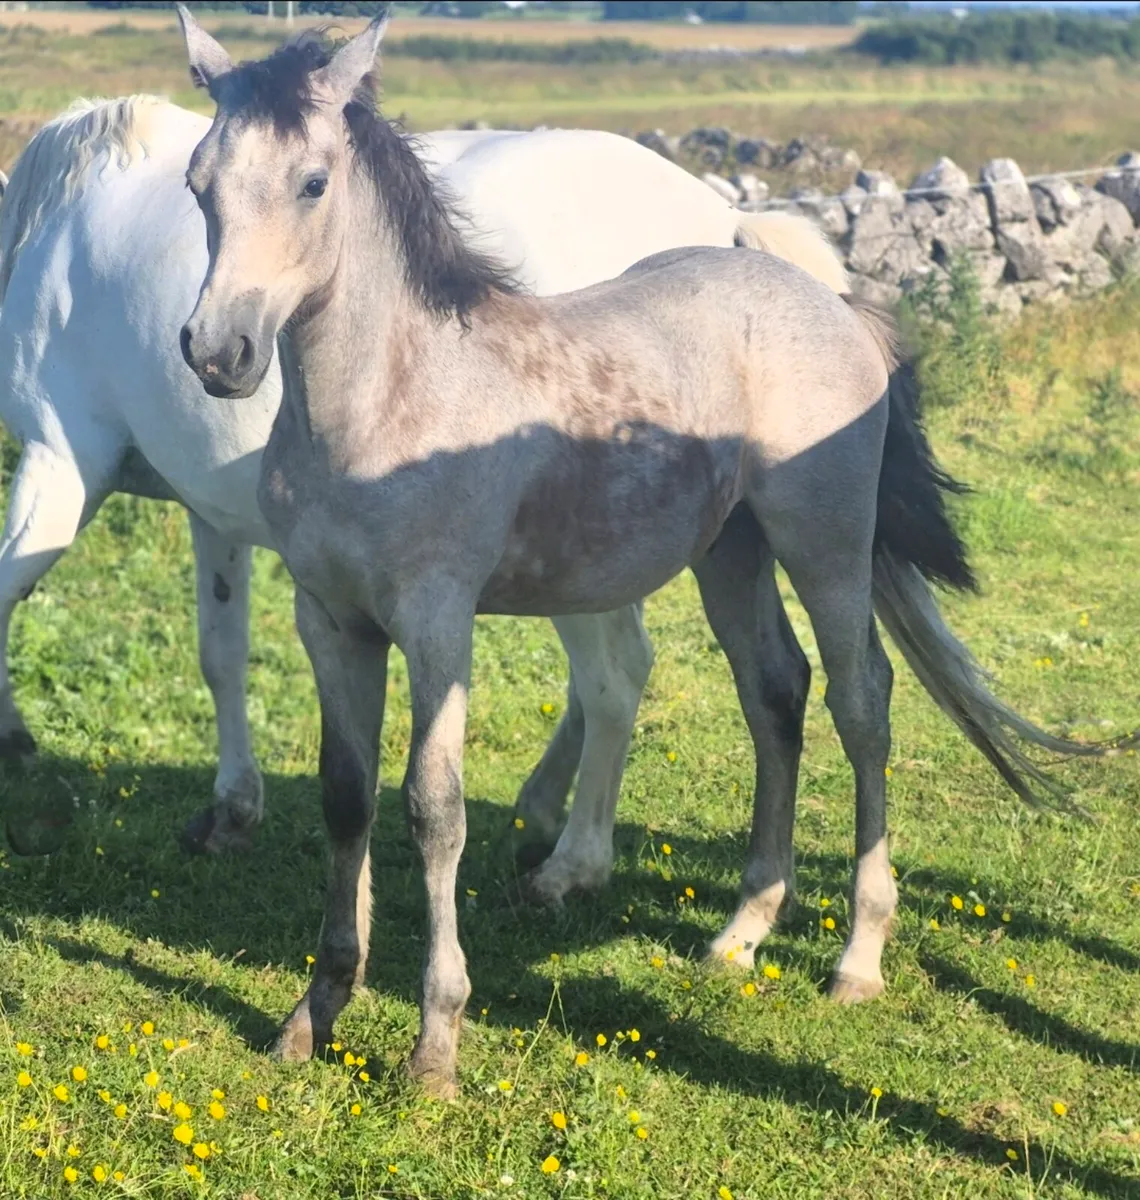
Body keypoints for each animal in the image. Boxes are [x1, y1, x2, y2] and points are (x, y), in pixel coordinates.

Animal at [0, 93, 844, 873]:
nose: (215, 354)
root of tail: (725, 222)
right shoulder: (210, 514)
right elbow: (222, 652)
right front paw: (233, 808)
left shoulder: (62, 462)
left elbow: (8, 587)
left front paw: (15, 734)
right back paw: (544, 806)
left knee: (617, 673)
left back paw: (572, 857)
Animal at [175, 10, 1107, 1096]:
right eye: (199, 182)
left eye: (314, 182)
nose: (219, 352)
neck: (385, 402)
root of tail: (828, 299)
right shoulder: (331, 621)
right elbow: (345, 798)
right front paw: (314, 1011)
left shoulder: (438, 623)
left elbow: (432, 810)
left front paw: (436, 1044)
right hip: (730, 554)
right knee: (776, 693)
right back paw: (740, 934)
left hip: (825, 545)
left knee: (861, 699)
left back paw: (858, 957)